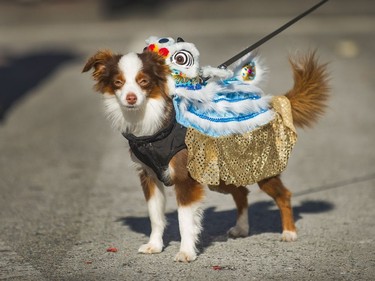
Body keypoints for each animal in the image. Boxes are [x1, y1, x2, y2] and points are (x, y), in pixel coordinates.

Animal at [82, 49, 328, 260]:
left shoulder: (185, 178)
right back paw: (242, 228)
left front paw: (186, 253)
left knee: (283, 195)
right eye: (118, 83)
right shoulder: (149, 176)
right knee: (242, 193)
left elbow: (184, 220)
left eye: (144, 82)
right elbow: (155, 216)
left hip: (259, 166)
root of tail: (268, 103)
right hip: (221, 173)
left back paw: (289, 232)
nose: (131, 98)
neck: (153, 127)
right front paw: (154, 246)